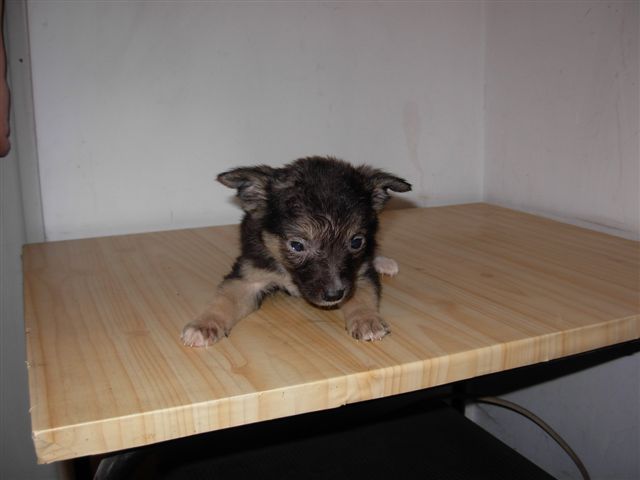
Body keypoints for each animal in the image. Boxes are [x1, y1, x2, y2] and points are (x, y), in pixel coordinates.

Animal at [181, 156, 411, 347]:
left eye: (356, 242)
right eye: (297, 246)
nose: (335, 295)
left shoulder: (359, 274)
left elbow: (362, 297)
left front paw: (367, 320)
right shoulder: (248, 277)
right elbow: (225, 299)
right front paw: (203, 325)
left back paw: (383, 262)